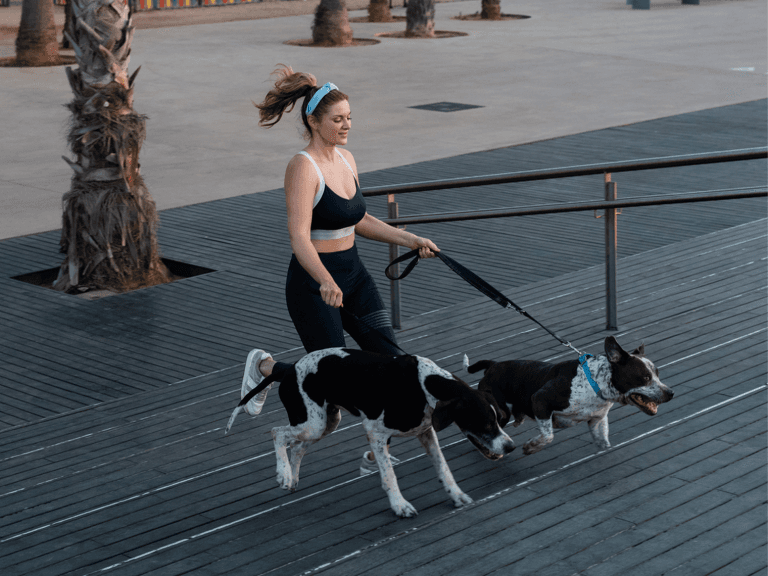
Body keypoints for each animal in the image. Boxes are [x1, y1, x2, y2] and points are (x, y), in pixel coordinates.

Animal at [228, 346, 516, 516]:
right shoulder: (375, 433)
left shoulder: (426, 432)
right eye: (486, 423)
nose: (510, 446)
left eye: (500, 419)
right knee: (277, 432)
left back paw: (293, 478)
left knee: (297, 447)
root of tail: (289, 368)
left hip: (324, 423)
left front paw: (456, 495)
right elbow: (389, 475)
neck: (424, 386)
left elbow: (443, 468)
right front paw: (399, 505)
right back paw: (283, 474)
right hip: (312, 424)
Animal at [462, 338, 672, 454]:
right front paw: (532, 446)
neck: (595, 385)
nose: (670, 393)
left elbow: (604, 442)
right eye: (645, 377)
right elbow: (548, 435)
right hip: (501, 412)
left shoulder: (597, 421)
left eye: (658, 374)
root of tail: (492, 365)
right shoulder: (540, 400)